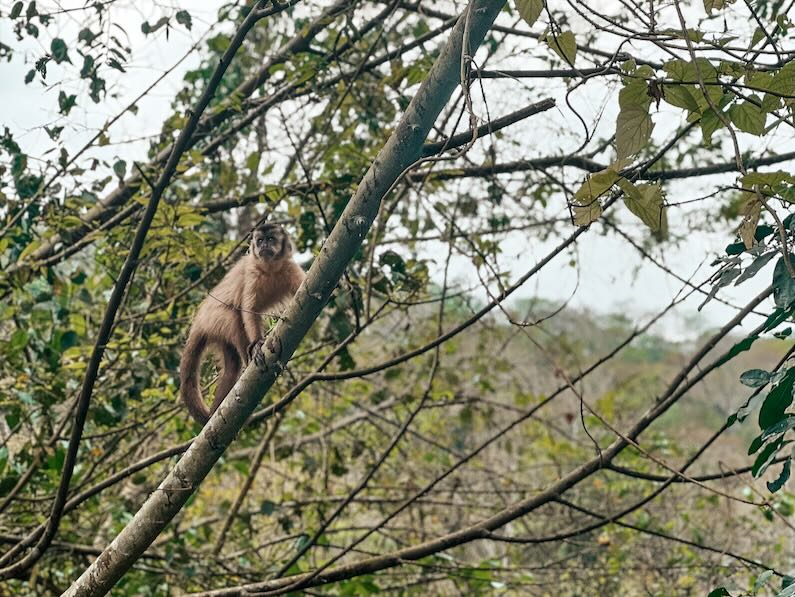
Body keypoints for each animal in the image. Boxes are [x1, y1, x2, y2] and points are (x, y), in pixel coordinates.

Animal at [180, 222, 304, 424]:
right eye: (260, 240)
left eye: (271, 239)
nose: (263, 246)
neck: (270, 268)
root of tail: (198, 322)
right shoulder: (251, 271)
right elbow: (248, 310)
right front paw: (258, 344)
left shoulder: (289, 267)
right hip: (213, 318)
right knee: (234, 319)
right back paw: (250, 355)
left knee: (232, 367)